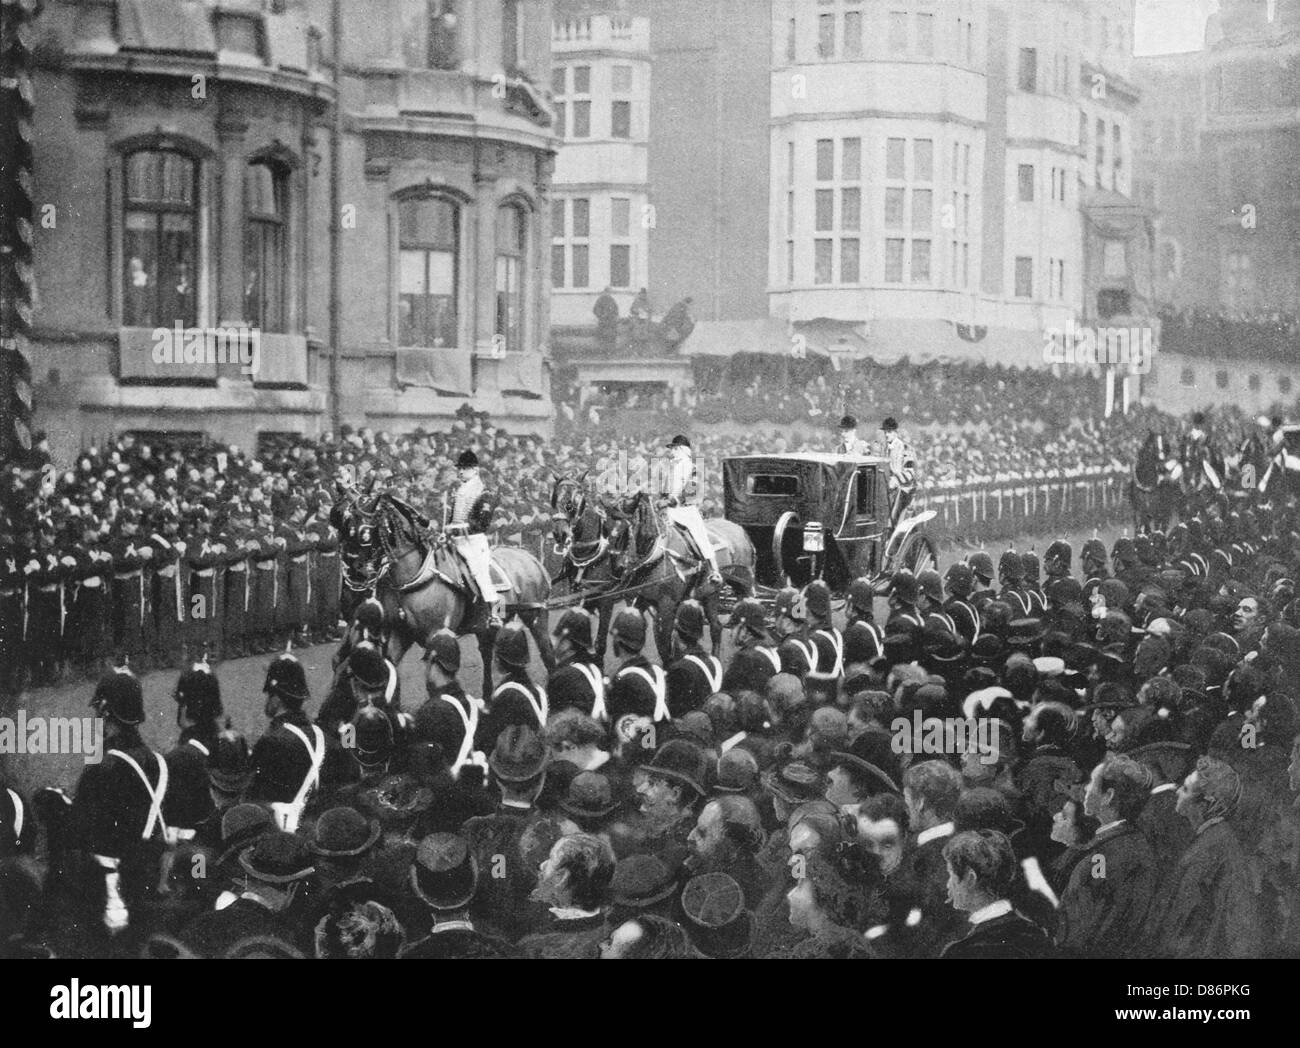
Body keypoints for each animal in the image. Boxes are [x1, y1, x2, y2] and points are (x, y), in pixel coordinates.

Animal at [340, 491, 553, 696]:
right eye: (347, 526)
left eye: (364, 531)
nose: (354, 571)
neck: (414, 577)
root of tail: (529, 557)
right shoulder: (399, 634)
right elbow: (390, 667)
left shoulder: (436, 636)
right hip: (489, 626)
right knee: (489, 653)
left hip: (535, 616)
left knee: (547, 651)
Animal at [546, 473, 754, 660]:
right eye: (554, 500)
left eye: (571, 504)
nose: (559, 534)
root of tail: (739, 530)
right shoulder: (630, 599)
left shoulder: (621, 601)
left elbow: (661, 646)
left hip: (721, 590)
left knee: (721, 625)